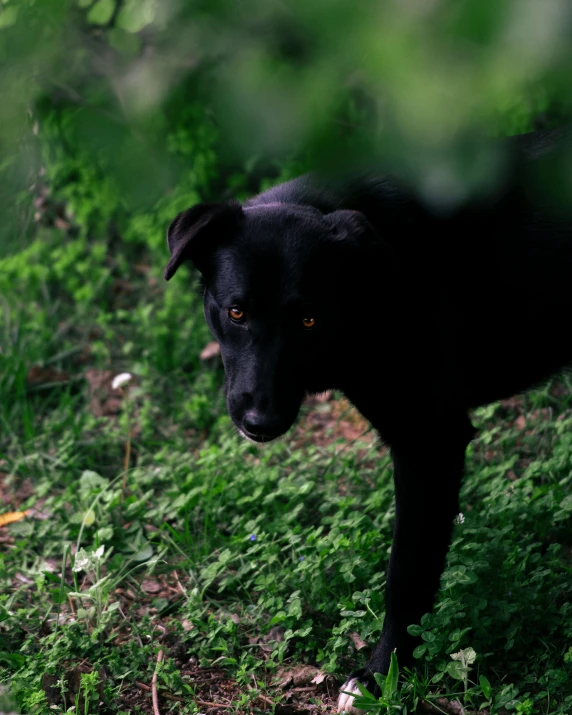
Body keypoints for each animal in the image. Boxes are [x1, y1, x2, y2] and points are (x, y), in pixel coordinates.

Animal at [164, 126, 572, 712]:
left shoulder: (431, 440)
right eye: (236, 312)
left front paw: (384, 674)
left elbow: (406, 572)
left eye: (309, 320)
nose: (260, 422)